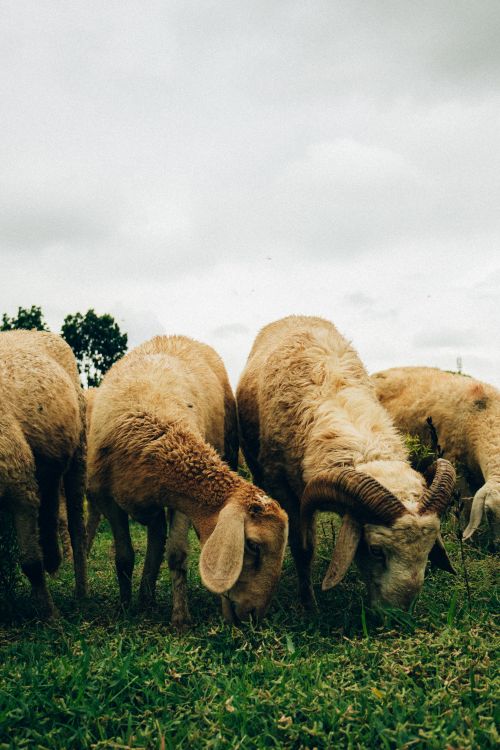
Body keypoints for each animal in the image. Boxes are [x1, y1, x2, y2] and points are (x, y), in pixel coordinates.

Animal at [0, 330, 88, 617]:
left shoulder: (19, 483)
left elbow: (29, 562)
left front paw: (51, 615)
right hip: (48, 461)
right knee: (50, 511)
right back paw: (53, 559)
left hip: (78, 453)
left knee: (76, 526)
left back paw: (81, 592)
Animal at [87, 334, 288, 627]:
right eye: (252, 545)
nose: (254, 617)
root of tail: (178, 337)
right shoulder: (106, 499)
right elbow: (124, 556)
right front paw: (124, 608)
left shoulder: (181, 502)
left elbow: (176, 555)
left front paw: (180, 618)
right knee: (155, 533)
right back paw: (144, 598)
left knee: (158, 536)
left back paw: (147, 597)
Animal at [237, 316, 456, 611]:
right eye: (375, 550)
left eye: (430, 547)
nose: (398, 615)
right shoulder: (285, 490)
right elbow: (303, 549)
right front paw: (309, 607)